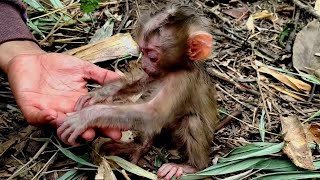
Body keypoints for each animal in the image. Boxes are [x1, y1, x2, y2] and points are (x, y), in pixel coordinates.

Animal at [57, 4, 219, 180]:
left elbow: (154, 113)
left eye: (153, 57)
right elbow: (139, 84)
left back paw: (191, 167)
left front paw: (88, 116)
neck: (177, 69)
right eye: (143, 51)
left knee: (192, 121)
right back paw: (141, 147)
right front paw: (98, 95)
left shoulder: (182, 80)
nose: (144, 65)